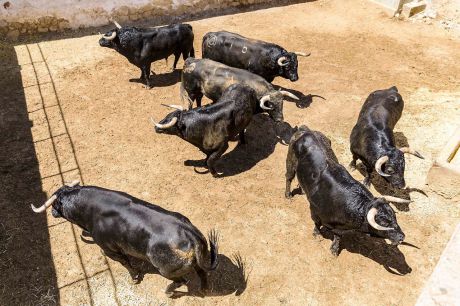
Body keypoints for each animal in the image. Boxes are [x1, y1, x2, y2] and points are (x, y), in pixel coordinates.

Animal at [30, 182, 219, 296]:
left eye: (56, 204)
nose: (52, 213)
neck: (89, 209)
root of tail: (190, 233)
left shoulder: (110, 250)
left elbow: (126, 263)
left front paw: (135, 277)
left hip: (165, 270)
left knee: (182, 280)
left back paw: (168, 291)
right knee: (202, 272)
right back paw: (204, 289)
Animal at [286, 126, 408, 256]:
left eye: (394, 217)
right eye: (384, 223)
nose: (401, 237)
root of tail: (305, 130)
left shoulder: (340, 228)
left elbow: (337, 236)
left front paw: (334, 249)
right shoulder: (314, 210)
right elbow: (317, 223)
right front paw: (317, 234)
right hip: (290, 162)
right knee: (288, 177)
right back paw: (287, 195)